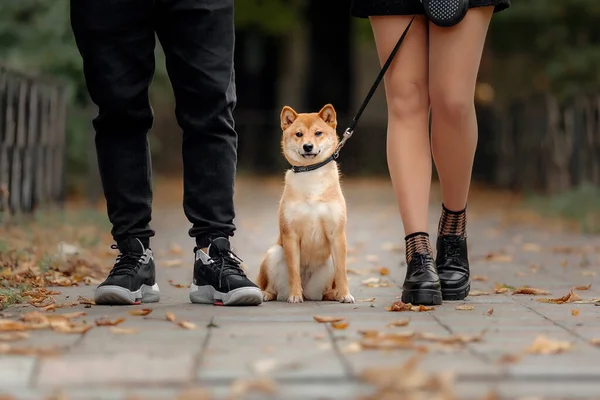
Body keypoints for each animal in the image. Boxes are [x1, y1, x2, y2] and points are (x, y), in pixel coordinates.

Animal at [255, 103, 354, 304]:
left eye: (318, 133)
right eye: (299, 134)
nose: (308, 146)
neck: (311, 174)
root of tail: (309, 292)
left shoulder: (337, 234)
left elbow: (342, 271)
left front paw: (345, 294)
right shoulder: (290, 234)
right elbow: (294, 271)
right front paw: (295, 295)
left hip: (327, 267)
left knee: (326, 291)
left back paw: (334, 295)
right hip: (273, 253)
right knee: (271, 287)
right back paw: (268, 294)